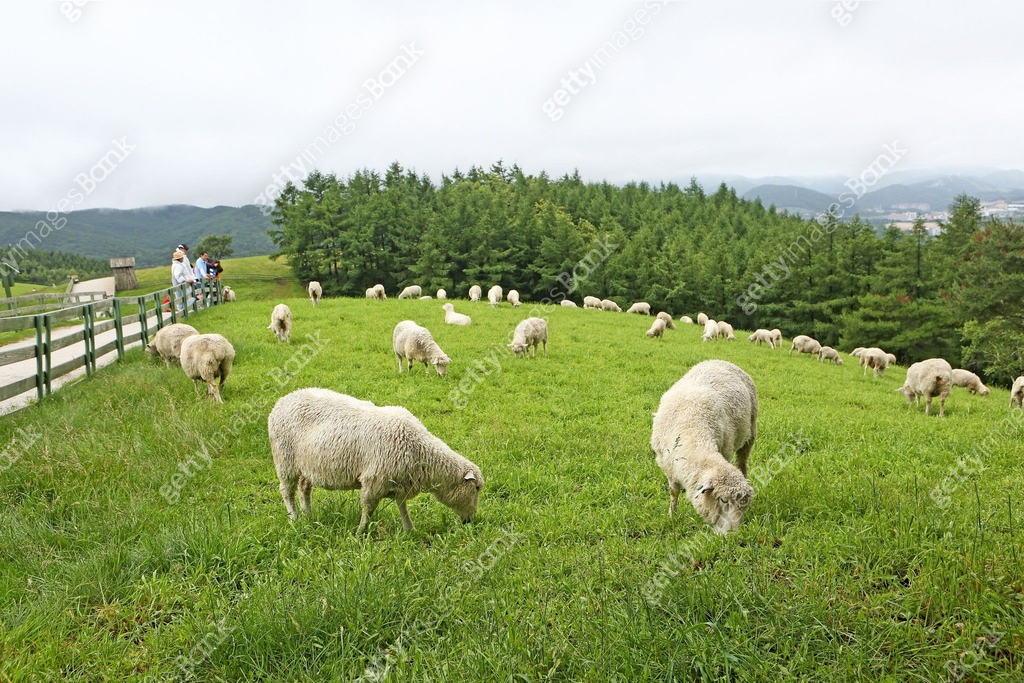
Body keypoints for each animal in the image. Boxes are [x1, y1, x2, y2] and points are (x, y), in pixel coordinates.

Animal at [268, 388, 483, 531]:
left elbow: (402, 507)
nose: (470, 521)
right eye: (477, 488)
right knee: (286, 491)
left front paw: (409, 530)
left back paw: (308, 515)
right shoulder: (373, 481)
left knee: (304, 487)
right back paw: (294, 518)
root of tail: (282, 400)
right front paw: (359, 532)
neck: (420, 449)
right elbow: (368, 509)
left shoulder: (399, 483)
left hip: (307, 463)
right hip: (285, 460)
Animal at [650, 360, 756, 534]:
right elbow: (673, 492)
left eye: (744, 506)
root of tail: (719, 360)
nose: (734, 534)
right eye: (723, 500)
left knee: (742, 462)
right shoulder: (669, 466)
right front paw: (672, 514)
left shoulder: (724, 450)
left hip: (750, 433)